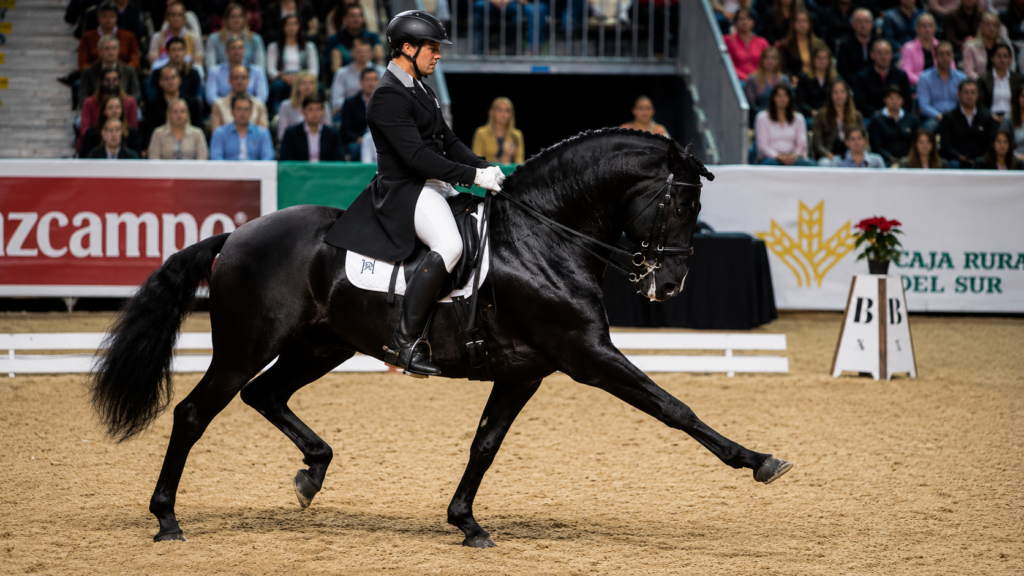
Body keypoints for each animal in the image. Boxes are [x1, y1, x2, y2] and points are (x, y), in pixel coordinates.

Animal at [89, 128, 793, 548]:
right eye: (681, 205)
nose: (669, 285)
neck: (545, 236)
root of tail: (236, 234)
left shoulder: (524, 370)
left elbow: (485, 444)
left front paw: (467, 522)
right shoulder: (587, 355)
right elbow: (675, 408)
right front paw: (758, 461)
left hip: (323, 345)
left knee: (265, 396)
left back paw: (312, 473)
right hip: (246, 346)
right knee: (194, 412)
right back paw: (167, 518)